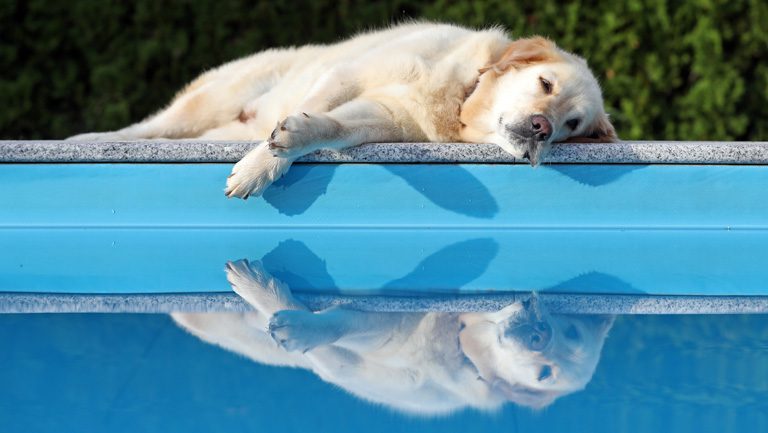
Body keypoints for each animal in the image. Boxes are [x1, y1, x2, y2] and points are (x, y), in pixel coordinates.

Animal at [67, 22, 616, 199]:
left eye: (572, 126)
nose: (542, 128)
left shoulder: (380, 115)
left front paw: (283, 146)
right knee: (149, 127)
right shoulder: (348, 75)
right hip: (210, 101)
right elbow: (310, 109)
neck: (459, 97)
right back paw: (88, 141)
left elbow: (325, 127)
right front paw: (261, 163)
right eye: (544, 83)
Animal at [171, 258, 616, 414]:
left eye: (544, 375)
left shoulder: (382, 326)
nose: (540, 331)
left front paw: (289, 319)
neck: (462, 342)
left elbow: (333, 322)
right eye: (570, 327)